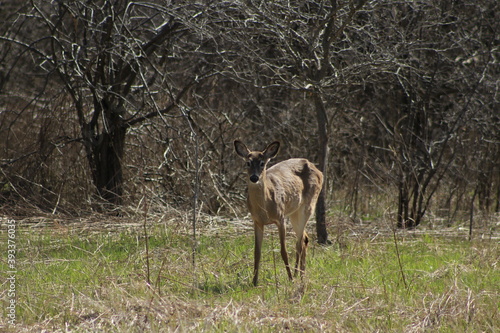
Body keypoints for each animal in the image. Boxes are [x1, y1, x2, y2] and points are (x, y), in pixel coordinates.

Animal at [234, 140, 324, 286]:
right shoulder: (257, 221)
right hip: (294, 212)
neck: (264, 208)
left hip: (308, 206)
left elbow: (284, 251)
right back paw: (300, 274)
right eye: (248, 162)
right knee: (304, 238)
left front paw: (290, 278)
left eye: (262, 163)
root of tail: (318, 170)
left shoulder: (280, 218)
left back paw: (298, 275)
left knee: (299, 242)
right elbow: (257, 252)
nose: (254, 177)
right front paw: (254, 281)